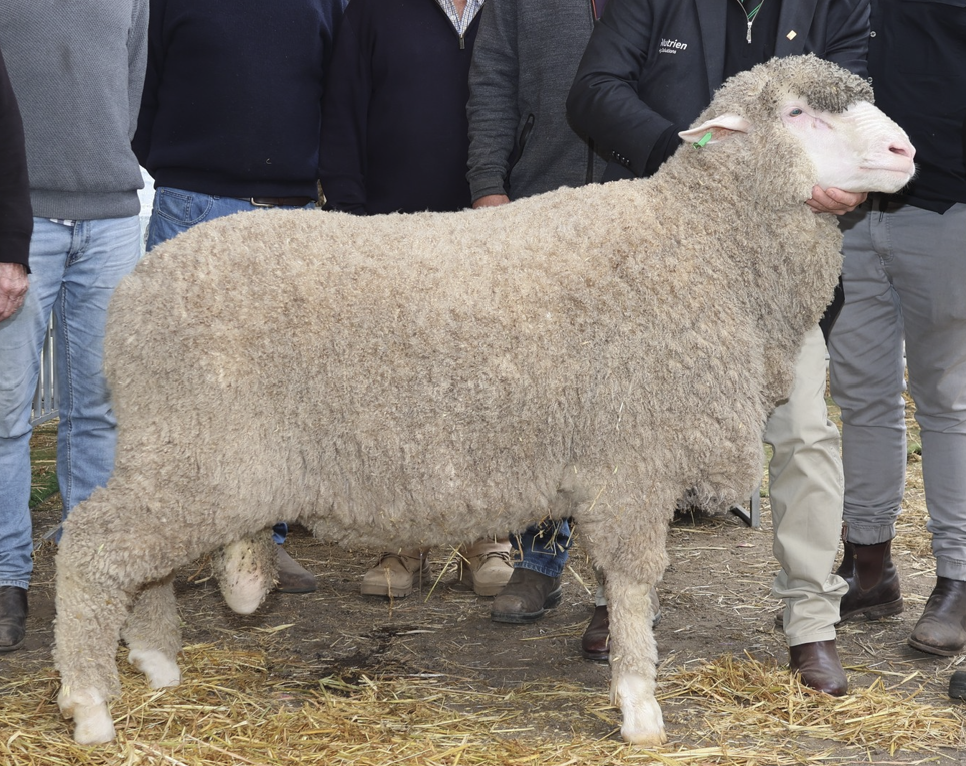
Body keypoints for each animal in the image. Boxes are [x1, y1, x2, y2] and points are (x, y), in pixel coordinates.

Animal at [53, 55, 916, 747]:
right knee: (93, 547)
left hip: (183, 454)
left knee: (140, 566)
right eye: (798, 114)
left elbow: (618, 582)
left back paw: (156, 661)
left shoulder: (617, 464)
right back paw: (90, 702)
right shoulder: (635, 457)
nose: (905, 150)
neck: (700, 241)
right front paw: (640, 705)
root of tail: (135, 293)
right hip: (195, 448)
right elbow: (637, 581)